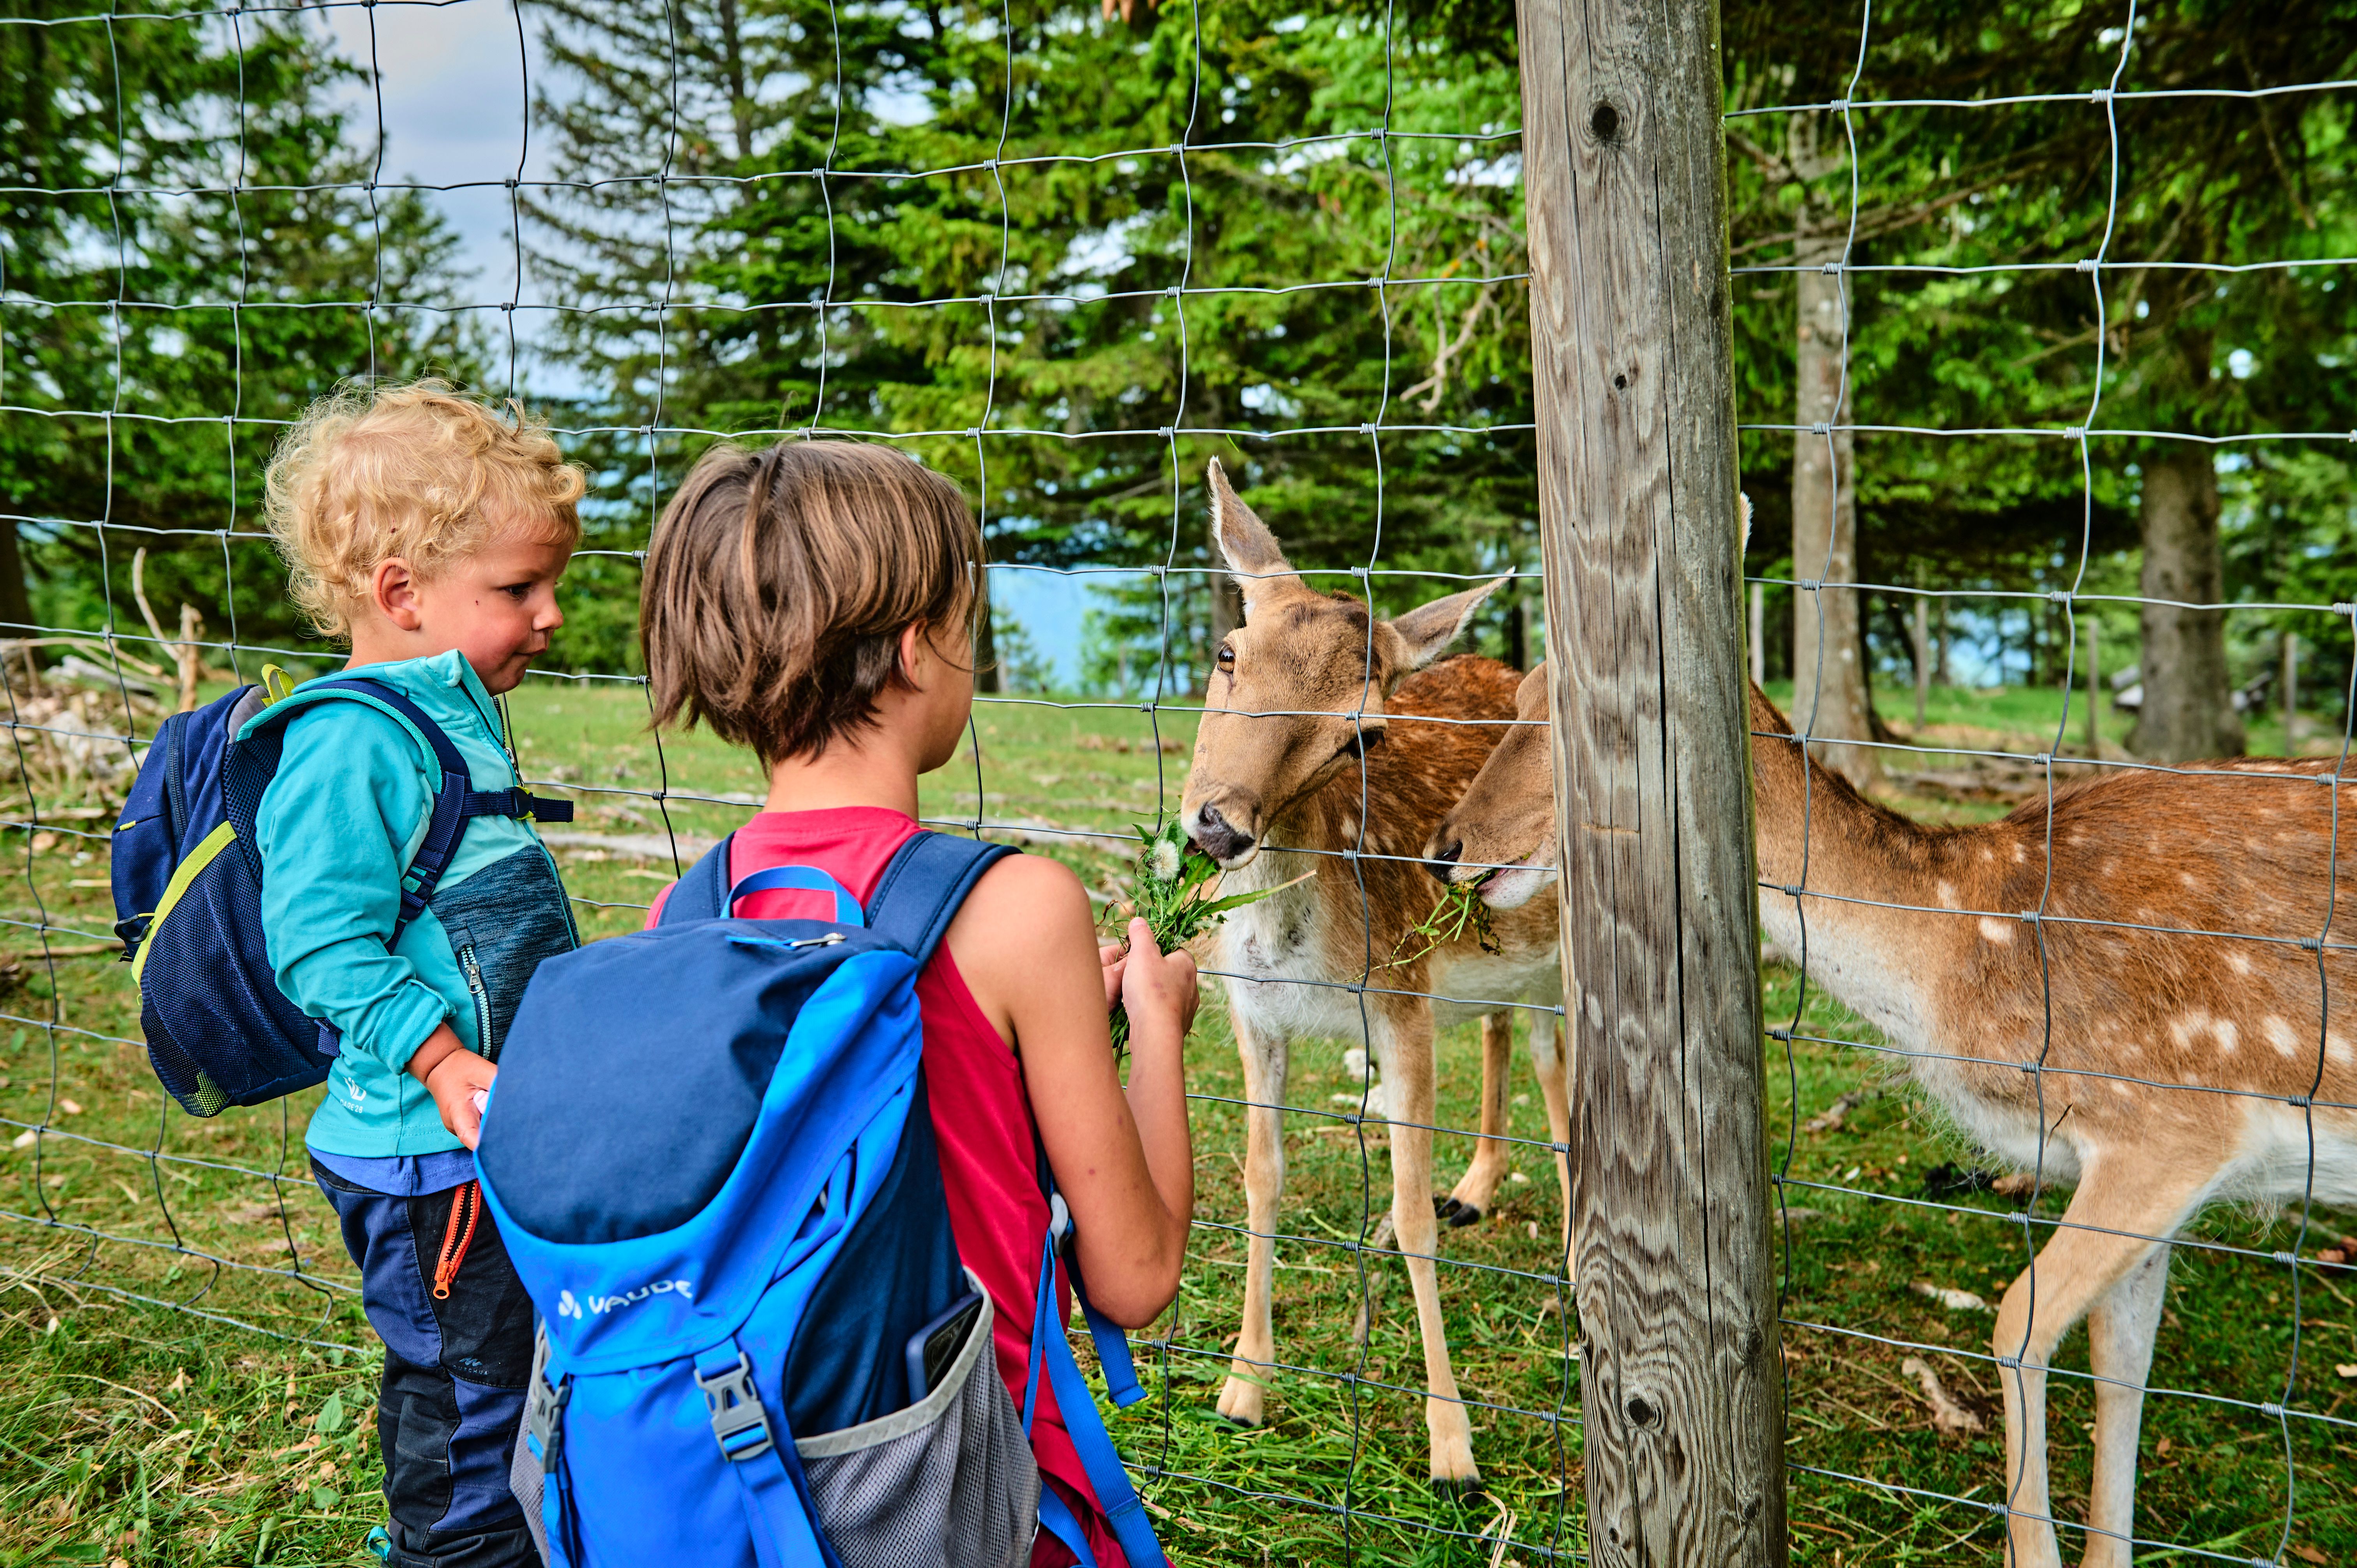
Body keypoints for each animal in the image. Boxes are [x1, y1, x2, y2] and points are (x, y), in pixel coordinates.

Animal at [1178, 459, 1567, 1491]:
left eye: (1362, 736)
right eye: (1228, 651)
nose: (1219, 824)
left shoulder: (1398, 995)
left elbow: (1407, 1204)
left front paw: (1453, 1445)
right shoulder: (1252, 1011)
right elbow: (1262, 1176)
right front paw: (1243, 1385)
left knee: (1557, 1070)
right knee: (1512, 1034)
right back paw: (1473, 1184)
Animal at [1425, 658, 2357, 1568]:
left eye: (1572, 711)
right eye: (1513, 694)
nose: (1444, 849)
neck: (1955, 958)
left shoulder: (2170, 1122)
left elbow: (2016, 1322)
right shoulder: (2142, 1161)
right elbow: (2121, 1361)